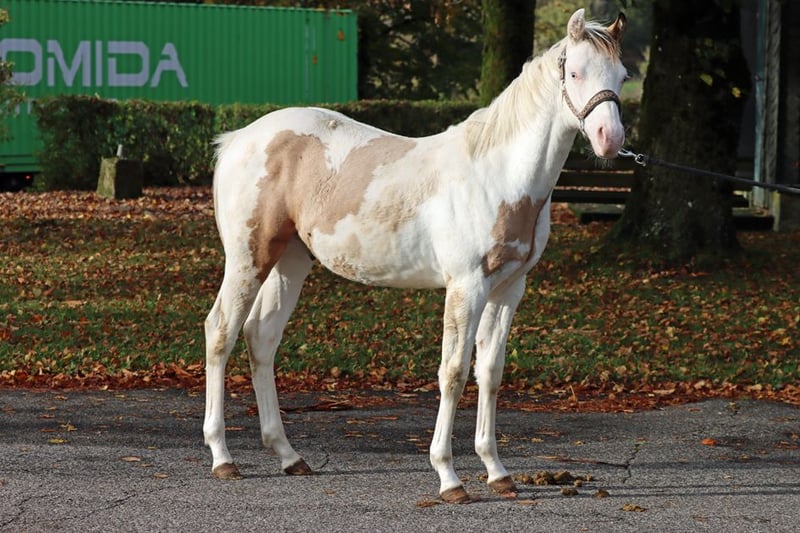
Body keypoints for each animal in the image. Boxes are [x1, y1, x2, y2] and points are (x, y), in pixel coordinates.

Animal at [203, 8, 627, 503]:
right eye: (575, 72)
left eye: (622, 76)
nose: (610, 139)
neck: (497, 175)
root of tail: (238, 139)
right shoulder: (466, 287)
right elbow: (453, 373)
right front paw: (449, 478)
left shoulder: (508, 289)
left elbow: (490, 372)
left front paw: (497, 472)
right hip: (248, 259)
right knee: (221, 333)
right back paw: (222, 457)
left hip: (290, 261)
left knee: (261, 337)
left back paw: (290, 456)